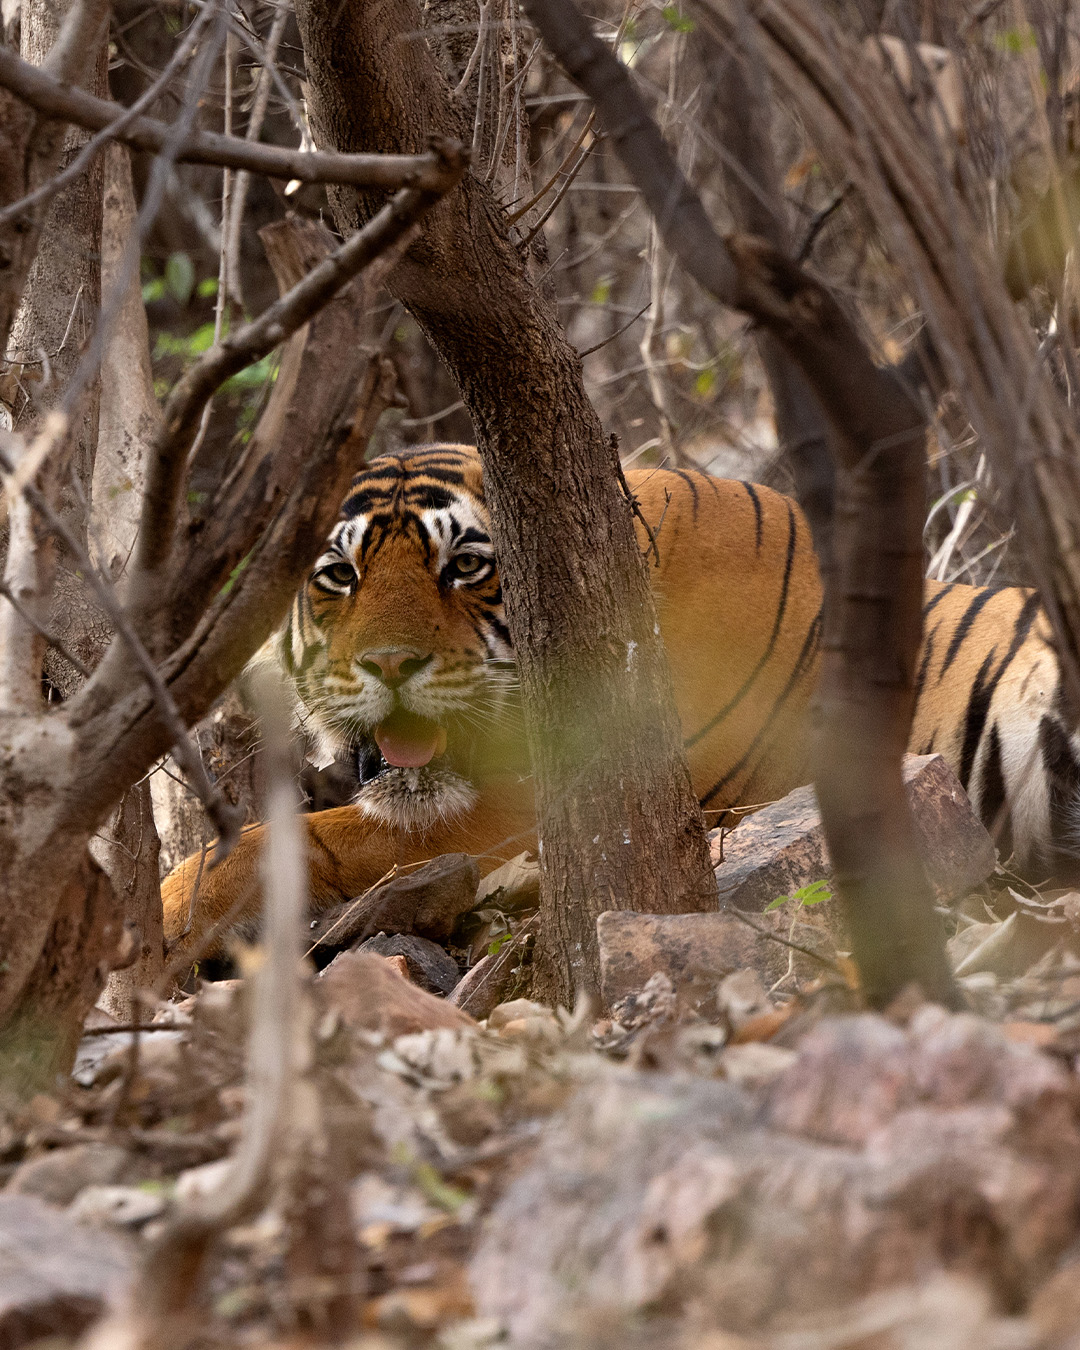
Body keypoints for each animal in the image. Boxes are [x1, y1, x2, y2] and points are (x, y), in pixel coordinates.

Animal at [161, 444, 1080, 960]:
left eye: (465, 565)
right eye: (339, 574)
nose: (389, 663)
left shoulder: (531, 805)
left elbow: (287, 839)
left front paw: (165, 918)